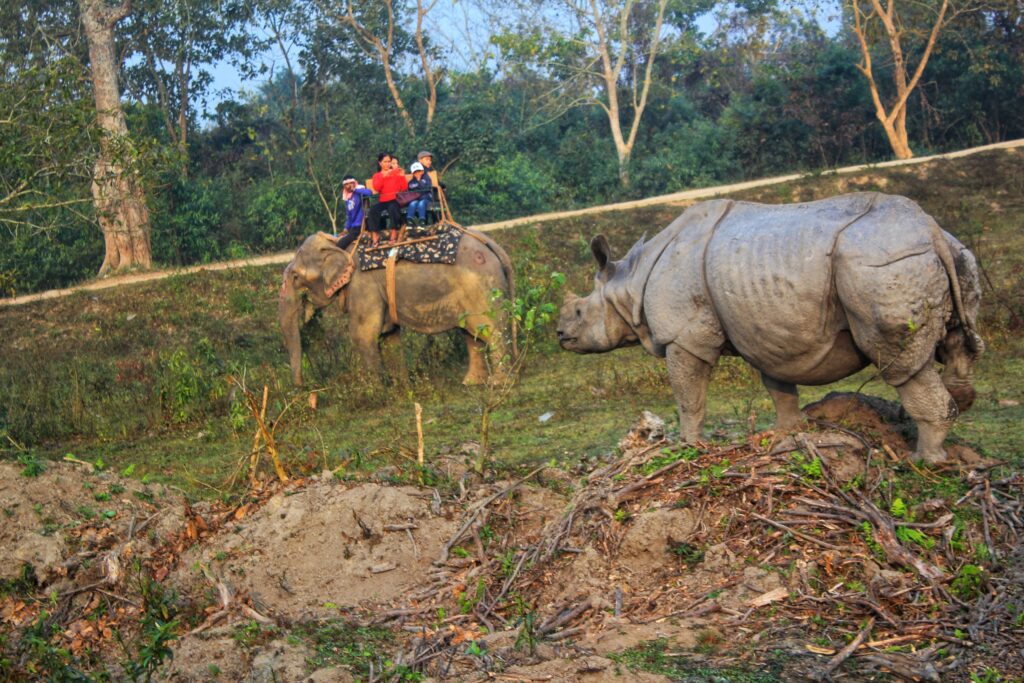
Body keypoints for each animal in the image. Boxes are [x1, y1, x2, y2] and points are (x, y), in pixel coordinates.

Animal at [278, 231, 516, 387]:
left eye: (296, 277)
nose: (305, 388)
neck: (338, 244)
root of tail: (493, 246)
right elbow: (388, 334)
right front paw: (400, 387)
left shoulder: (363, 285)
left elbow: (362, 334)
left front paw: (375, 393)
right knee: (470, 332)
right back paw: (471, 382)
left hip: (482, 289)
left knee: (491, 330)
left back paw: (498, 383)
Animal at [557, 191, 987, 464]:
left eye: (578, 312)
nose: (560, 336)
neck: (627, 282)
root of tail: (930, 229)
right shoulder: (763, 329)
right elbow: (778, 384)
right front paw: (788, 433)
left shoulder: (684, 337)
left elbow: (689, 397)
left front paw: (689, 447)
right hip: (952, 255)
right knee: (956, 344)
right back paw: (957, 414)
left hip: (881, 267)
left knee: (899, 363)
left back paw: (924, 461)